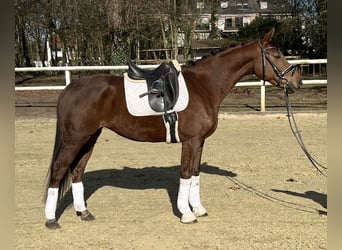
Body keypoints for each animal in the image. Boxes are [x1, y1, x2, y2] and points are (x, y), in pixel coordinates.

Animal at [43, 28, 302, 229]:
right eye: (277, 55)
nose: (296, 82)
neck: (204, 86)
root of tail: (69, 89)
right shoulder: (190, 141)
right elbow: (185, 174)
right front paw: (186, 214)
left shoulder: (199, 142)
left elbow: (195, 174)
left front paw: (198, 209)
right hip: (75, 139)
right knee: (58, 170)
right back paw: (51, 219)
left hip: (90, 138)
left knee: (77, 171)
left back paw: (83, 212)